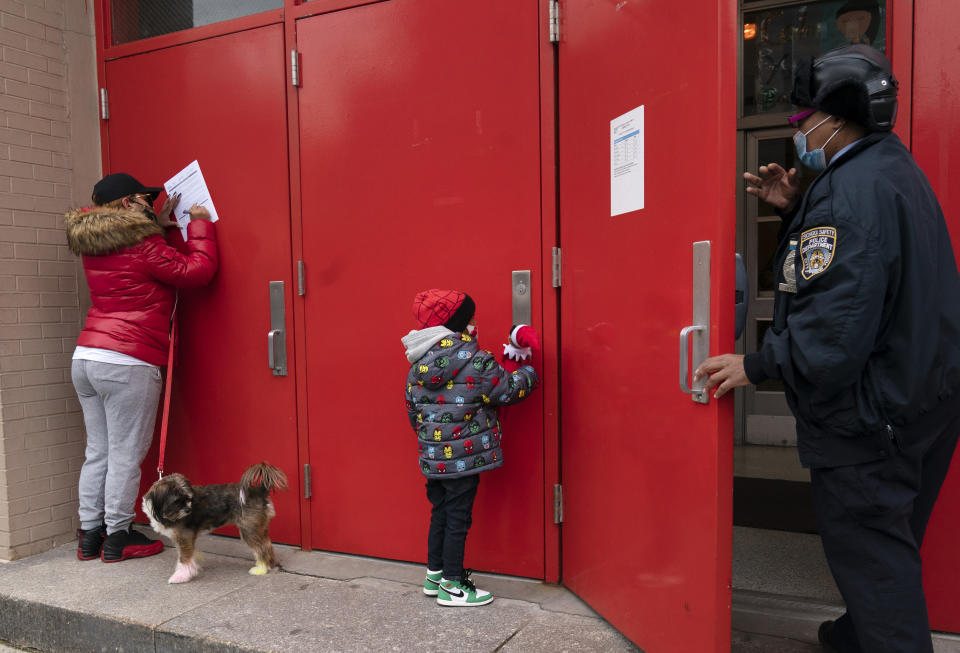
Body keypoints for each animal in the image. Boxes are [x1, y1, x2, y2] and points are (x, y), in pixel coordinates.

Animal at [141, 460, 286, 584]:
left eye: (187, 498)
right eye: (176, 501)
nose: (188, 510)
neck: (161, 511)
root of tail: (259, 490)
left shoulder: (184, 537)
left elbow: (184, 559)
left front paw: (181, 576)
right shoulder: (182, 539)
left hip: (249, 529)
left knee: (261, 548)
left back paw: (261, 569)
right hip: (259, 528)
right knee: (267, 545)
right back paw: (267, 565)